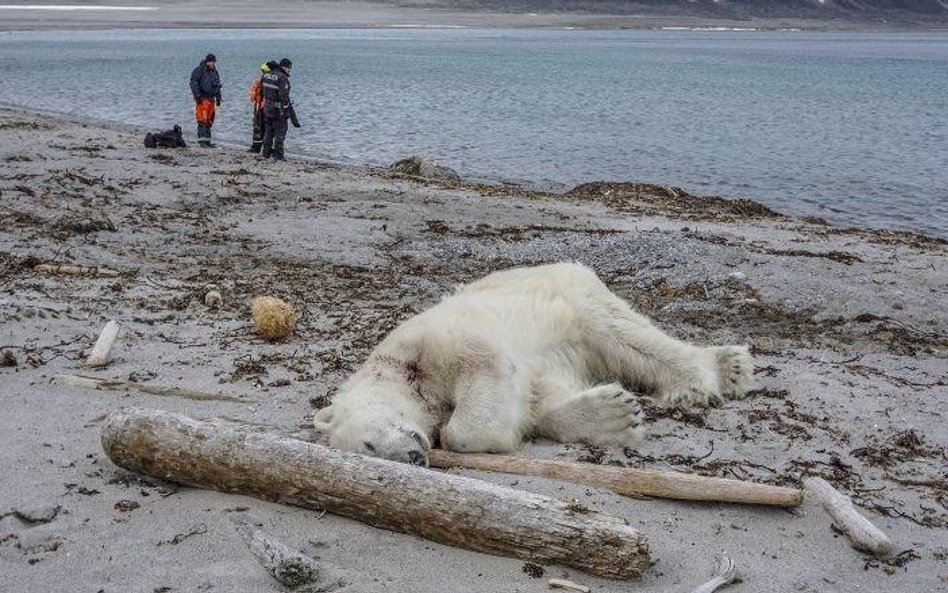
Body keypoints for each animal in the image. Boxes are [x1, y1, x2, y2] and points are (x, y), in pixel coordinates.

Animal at [314, 262, 752, 462]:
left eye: (368, 443)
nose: (414, 456)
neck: (403, 372)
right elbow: (539, 398)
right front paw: (613, 415)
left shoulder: (432, 341)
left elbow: (481, 377)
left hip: (572, 296)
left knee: (625, 335)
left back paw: (714, 373)